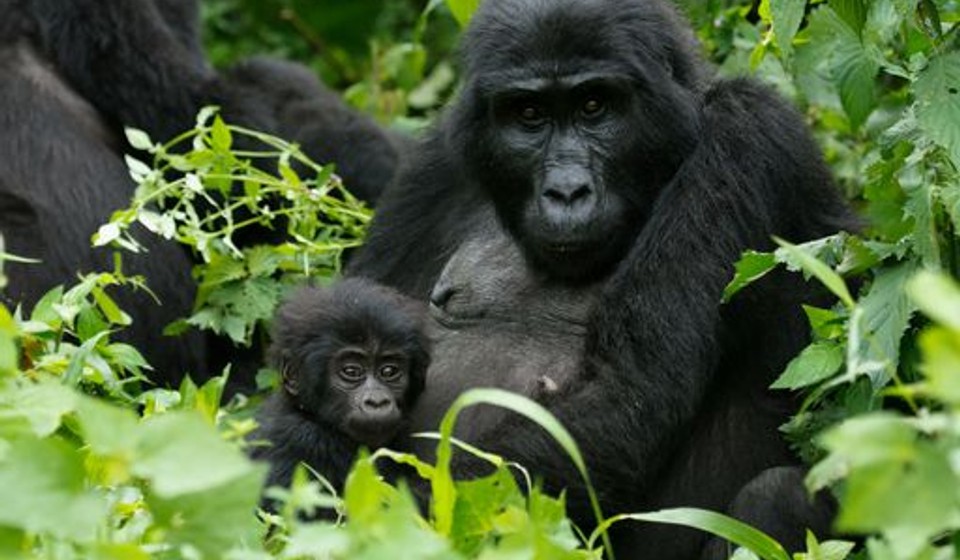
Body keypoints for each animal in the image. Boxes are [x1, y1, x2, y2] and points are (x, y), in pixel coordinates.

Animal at [348, 0, 860, 556]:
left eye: (594, 106)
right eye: (529, 115)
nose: (566, 192)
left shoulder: (749, 134)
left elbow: (622, 397)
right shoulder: (439, 159)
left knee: (778, 496)